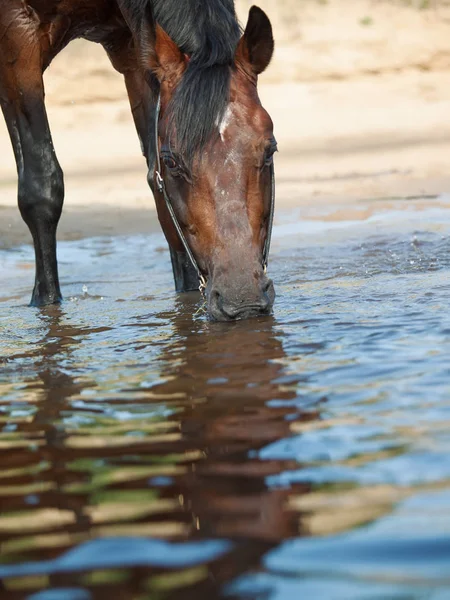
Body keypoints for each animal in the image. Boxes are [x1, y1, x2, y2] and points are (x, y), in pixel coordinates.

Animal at [0, 0, 276, 322]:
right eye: (172, 162)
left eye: (269, 150)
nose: (242, 298)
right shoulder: (17, 41)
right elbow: (41, 190)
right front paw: (46, 305)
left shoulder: (134, 48)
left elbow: (160, 197)